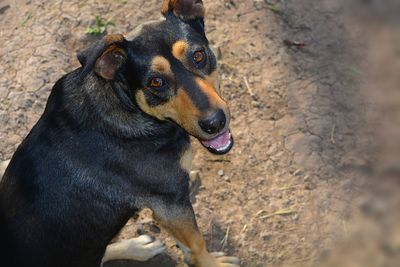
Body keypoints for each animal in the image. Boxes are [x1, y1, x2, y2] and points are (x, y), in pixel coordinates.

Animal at [0, 0, 241, 267]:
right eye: (156, 82)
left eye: (198, 56)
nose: (215, 123)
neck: (126, 105)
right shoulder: (170, 204)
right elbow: (197, 243)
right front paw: (212, 263)